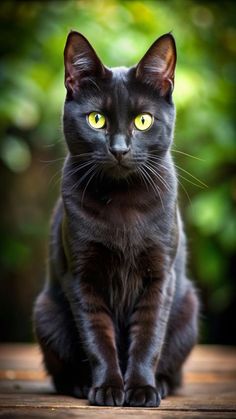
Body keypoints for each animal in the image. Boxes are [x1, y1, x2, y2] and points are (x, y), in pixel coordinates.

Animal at [33, 31, 199, 408]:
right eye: (96, 119)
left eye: (143, 121)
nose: (120, 149)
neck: (122, 203)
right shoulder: (82, 276)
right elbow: (97, 338)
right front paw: (108, 387)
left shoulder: (160, 276)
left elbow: (148, 336)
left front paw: (140, 389)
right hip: (46, 312)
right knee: (60, 370)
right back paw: (81, 384)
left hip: (188, 311)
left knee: (175, 369)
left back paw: (161, 384)